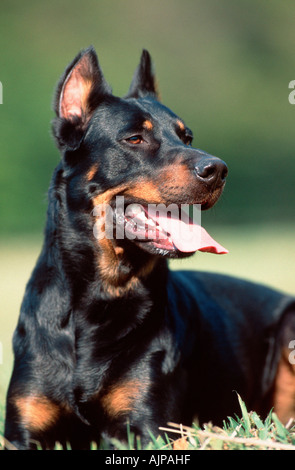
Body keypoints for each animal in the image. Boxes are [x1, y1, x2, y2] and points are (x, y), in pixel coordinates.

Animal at [4, 46, 295, 450]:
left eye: (187, 137)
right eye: (134, 139)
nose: (218, 170)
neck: (101, 297)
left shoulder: (146, 426)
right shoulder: (23, 429)